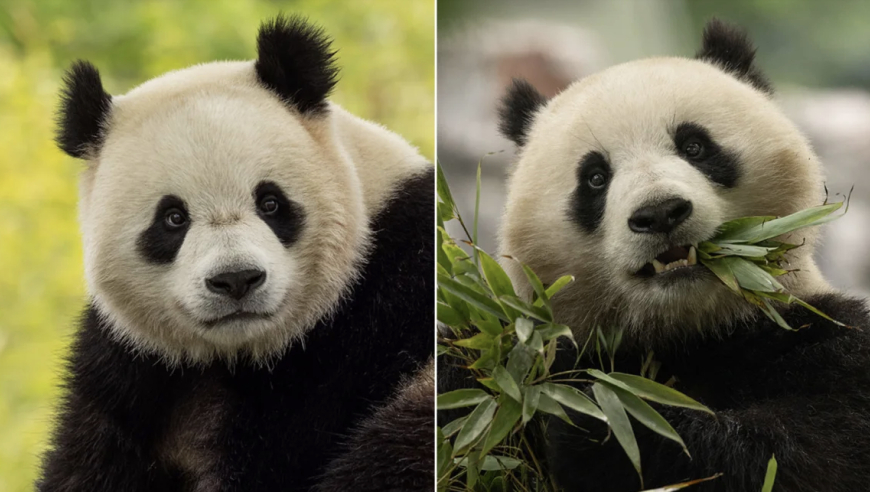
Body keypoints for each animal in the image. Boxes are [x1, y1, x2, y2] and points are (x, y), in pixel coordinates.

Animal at [41, 13, 436, 490]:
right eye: (173, 218)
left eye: (270, 202)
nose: (236, 280)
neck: (238, 354)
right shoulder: (132, 366)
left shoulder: (372, 324)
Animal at [494, 17, 870, 490]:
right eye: (595, 178)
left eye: (694, 146)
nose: (659, 213)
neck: (687, 331)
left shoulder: (823, 342)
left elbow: (802, 455)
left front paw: (601, 425)